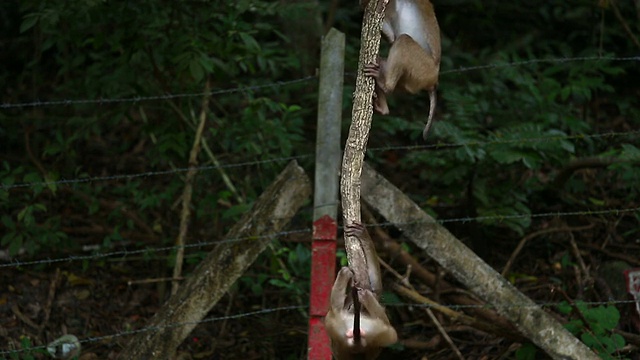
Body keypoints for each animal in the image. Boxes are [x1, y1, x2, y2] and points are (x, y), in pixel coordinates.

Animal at [324, 222, 396, 360]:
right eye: (349, 306)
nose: (351, 306)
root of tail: (356, 345)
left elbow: (376, 288)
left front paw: (364, 236)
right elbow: (376, 288)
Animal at [360, 0, 440, 140]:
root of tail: (433, 81)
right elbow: (392, 36)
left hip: (425, 68)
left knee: (404, 40)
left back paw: (386, 85)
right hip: (412, 80)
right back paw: (383, 106)